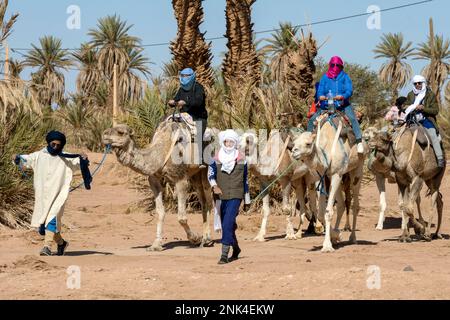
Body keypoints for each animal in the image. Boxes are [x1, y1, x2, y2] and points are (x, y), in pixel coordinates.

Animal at [102, 121, 214, 251]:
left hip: (207, 168)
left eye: (120, 132)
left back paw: (208, 239)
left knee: (209, 199)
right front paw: (156, 244)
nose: (104, 135)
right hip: (195, 174)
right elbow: (160, 212)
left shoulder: (180, 179)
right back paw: (206, 238)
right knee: (203, 200)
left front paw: (195, 238)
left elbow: (181, 217)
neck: (160, 155)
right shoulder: (154, 180)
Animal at [292, 113, 370, 252]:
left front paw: (327, 246)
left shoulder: (336, 174)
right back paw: (336, 237)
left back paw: (353, 237)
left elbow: (328, 211)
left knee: (355, 204)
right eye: (294, 142)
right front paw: (336, 235)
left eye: (308, 144)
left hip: (357, 169)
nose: (293, 151)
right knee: (341, 205)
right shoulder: (321, 177)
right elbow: (321, 213)